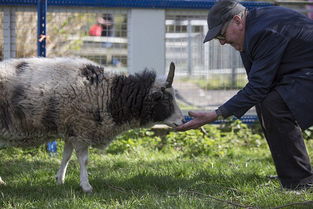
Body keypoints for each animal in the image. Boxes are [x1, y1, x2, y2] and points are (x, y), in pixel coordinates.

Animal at [0, 57, 183, 193]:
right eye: (167, 99)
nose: (182, 121)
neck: (110, 95)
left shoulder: (71, 130)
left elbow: (66, 156)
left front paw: (60, 180)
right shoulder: (82, 129)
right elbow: (84, 160)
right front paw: (86, 186)